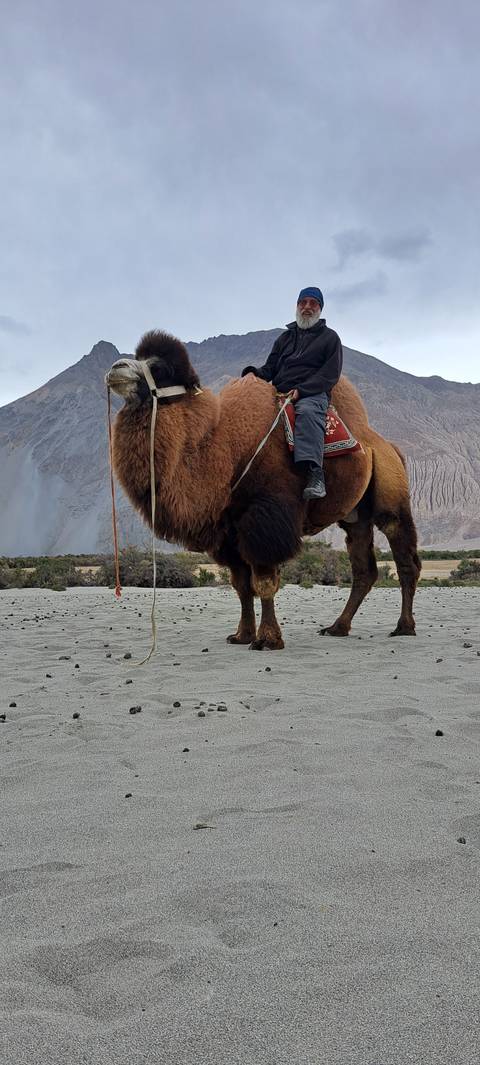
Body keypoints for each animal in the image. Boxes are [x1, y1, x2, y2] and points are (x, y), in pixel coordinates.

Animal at [106, 330, 421, 649]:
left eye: (159, 368)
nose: (116, 368)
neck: (226, 451)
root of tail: (386, 445)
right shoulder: (228, 531)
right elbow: (242, 586)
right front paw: (242, 635)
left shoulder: (265, 518)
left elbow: (265, 581)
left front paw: (268, 639)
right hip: (355, 515)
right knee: (364, 569)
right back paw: (337, 627)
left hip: (391, 496)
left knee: (404, 555)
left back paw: (404, 626)